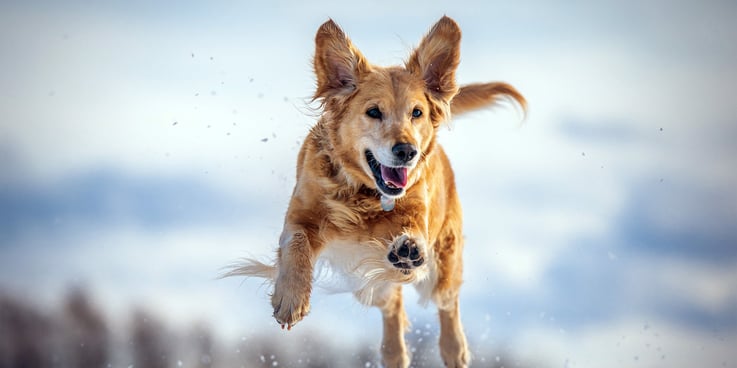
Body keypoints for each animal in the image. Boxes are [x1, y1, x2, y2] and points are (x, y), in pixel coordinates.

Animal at [227, 16, 528, 368]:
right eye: (373, 112)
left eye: (416, 112)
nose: (407, 151)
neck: (363, 194)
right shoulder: (301, 215)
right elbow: (296, 245)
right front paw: (291, 298)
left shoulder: (416, 215)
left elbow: (411, 232)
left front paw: (407, 247)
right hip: (373, 285)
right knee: (392, 304)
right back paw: (394, 353)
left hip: (442, 263)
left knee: (446, 301)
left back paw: (454, 348)